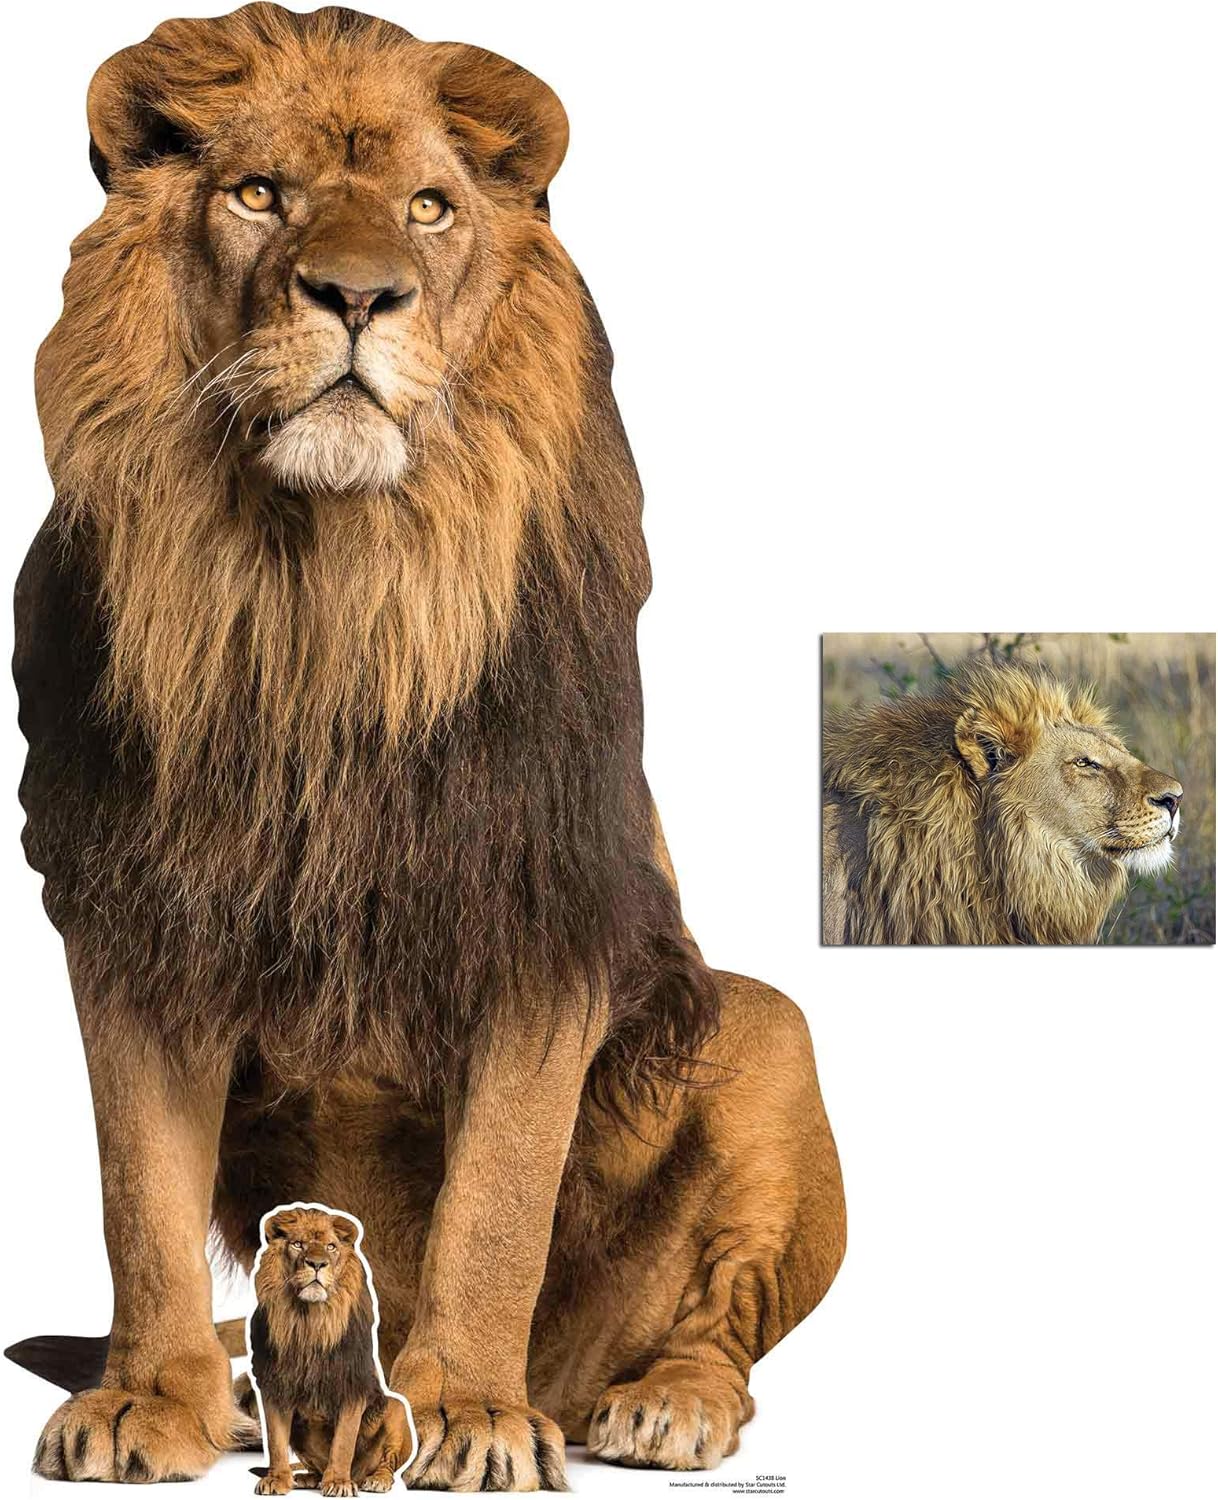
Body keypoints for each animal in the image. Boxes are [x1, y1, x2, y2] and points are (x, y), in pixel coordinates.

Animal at [249, 1206, 409, 1497]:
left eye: (331, 1247)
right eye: (297, 1244)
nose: (317, 1264)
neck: (309, 1322)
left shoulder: (352, 1385)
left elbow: (343, 1442)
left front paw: (338, 1483)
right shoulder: (274, 1386)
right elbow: (276, 1441)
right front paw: (276, 1479)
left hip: (396, 1408)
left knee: (387, 1463)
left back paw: (374, 1480)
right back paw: (308, 1478)